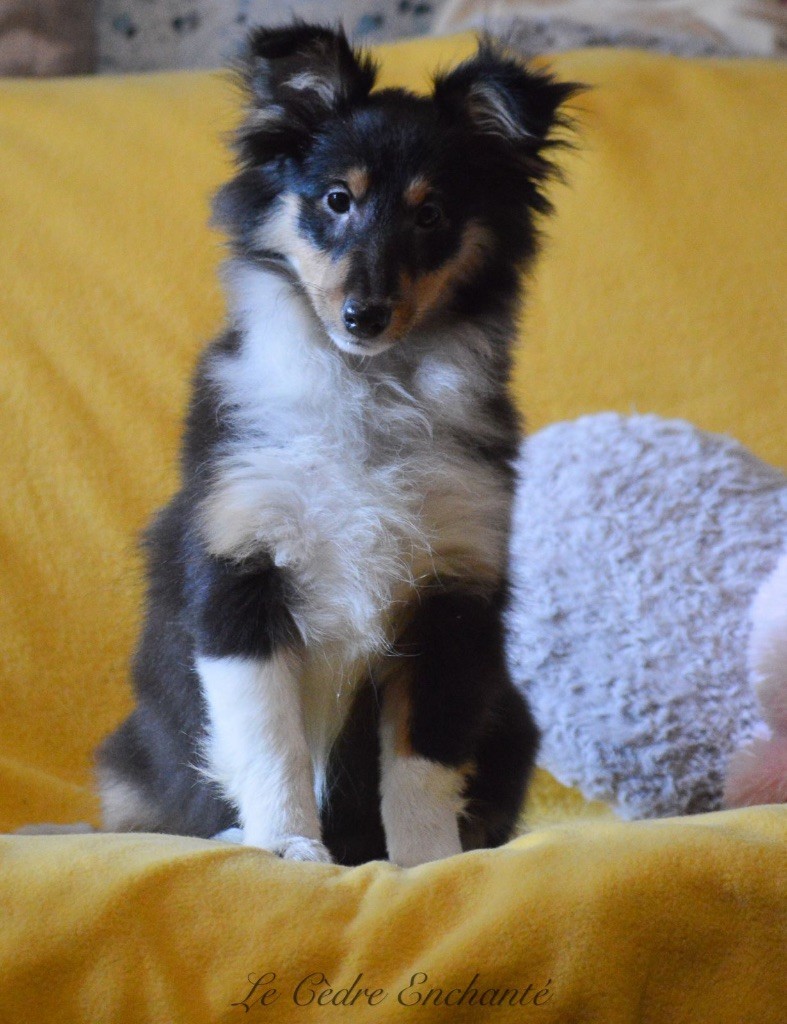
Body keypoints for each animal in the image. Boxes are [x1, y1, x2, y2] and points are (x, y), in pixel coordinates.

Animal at [96, 24, 577, 864]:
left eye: (431, 214)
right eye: (335, 199)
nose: (363, 315)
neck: (366, 388)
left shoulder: (451, 595)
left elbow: (420, 761)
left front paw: (426, 864)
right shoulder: (240, 573)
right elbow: (272, 740)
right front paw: (288, 848)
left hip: (514, 724)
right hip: (131, 769)